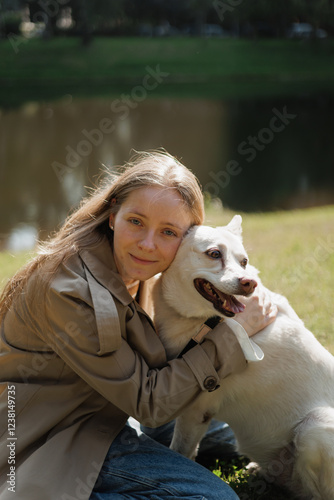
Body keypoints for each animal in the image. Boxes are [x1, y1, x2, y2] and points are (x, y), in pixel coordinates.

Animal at [152, 217, 334, 500]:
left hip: (314, 429)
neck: (206, 323)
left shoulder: (195, 410)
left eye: (244, 261)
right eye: (214, 254)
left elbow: (180, 451)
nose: (250, 283)